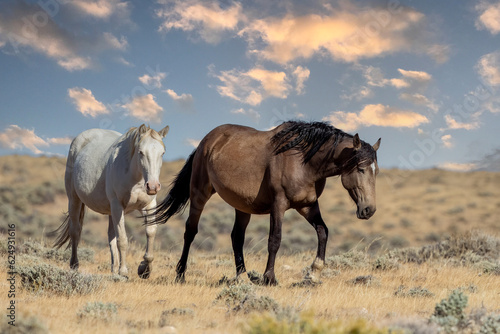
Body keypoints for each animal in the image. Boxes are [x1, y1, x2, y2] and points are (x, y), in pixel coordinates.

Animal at [54, 124, 169, 278]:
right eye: (141, 152)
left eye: (162, 153)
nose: (153, 186)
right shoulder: (117, 206)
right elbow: (123, 239)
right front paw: (124, 271)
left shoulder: (148, 205)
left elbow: (150, 232)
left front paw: (144, 269)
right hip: (74, 200)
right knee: (75, 231)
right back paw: (74, 265)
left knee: (110, 237)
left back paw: (114, 269)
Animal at [154, 121, 380, 286]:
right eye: (360, 169)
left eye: (376, 171)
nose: (369, 210)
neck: (303, 161)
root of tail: (206, 141)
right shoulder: (278, 205)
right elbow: (275, 240)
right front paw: (269, 278)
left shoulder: (308, 205)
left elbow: (323, 231)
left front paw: (314, 273)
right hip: (199, 194)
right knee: (190, 231)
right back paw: (181, 275)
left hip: (242, 206)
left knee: (237, 238)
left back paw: (242, 277)